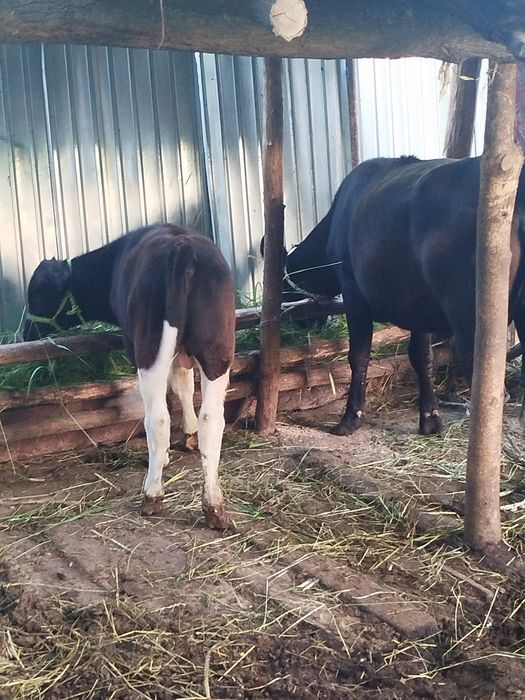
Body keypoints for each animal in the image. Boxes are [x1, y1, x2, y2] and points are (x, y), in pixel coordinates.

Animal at [24, 224, 236, 529]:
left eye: (40, 293)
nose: (26, 332)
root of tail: (182, 247)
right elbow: (183, 385)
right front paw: (189, 435)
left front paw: (168, 455)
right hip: (218, 349)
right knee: (212, 419)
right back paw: (214, 507)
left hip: (149, 350)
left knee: (157, 418)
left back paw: (152, 495)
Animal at [279, 155, 525, 436]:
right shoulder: (418, 304)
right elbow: (421, 356)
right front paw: (430, 418)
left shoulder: (353, 293)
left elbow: (359, 355)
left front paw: (351, 417)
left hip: (471, 320)